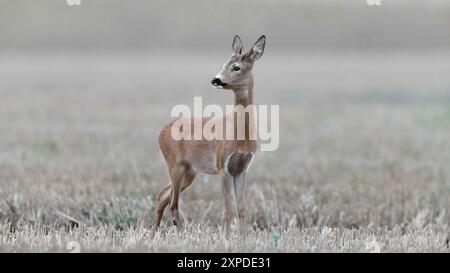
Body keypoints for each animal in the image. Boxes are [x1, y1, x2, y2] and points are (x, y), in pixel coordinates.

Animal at [156, 34, 266, 236]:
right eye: (223, 64)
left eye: (236, 67)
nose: (216, 80)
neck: (241, 138)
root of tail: (161, 133)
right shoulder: (222, 165)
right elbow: (228, 209)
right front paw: (228, 238)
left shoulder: (241, 169)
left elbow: (242, 209)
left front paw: (244, 239)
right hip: (175, 165)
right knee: (173, 203)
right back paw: (182, 233)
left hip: (190, 171)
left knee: (163, 196)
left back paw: (154, 235)